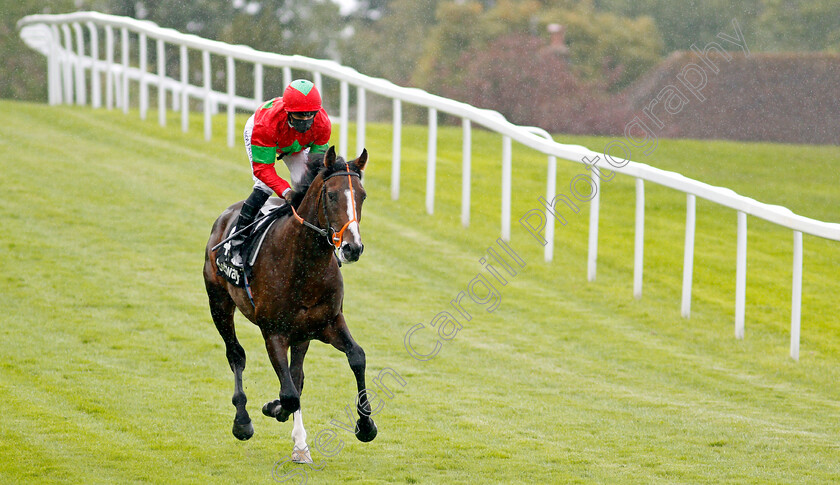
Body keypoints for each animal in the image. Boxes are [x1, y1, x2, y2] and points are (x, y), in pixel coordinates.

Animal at [203, 147, 378, 462]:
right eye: (331, 195)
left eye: (362, 195)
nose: (352, 248)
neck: (304, 265)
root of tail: (226, 214)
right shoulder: (273, 332)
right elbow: (289, 394)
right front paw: (270, 408)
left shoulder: (328, 323)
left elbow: (356, 357)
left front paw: (366, 425)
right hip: (219, 302)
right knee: (236, 354)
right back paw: (242, 421)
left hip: (302, 334)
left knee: (296, 374)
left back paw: (300, 444)